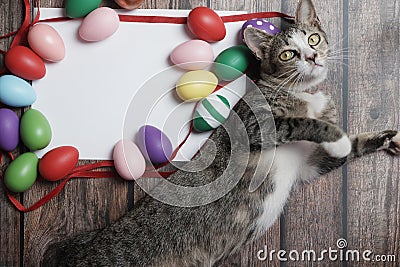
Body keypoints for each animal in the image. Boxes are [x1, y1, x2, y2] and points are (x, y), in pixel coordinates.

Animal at [43, 0, 400, 266]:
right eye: (288, 54)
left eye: (313, 39)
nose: (313, 57)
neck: (304, 94)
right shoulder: (255, 126)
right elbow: (308, 124)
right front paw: (336, 138)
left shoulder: (309, 164)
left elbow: (352, 145)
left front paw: (385, 139)